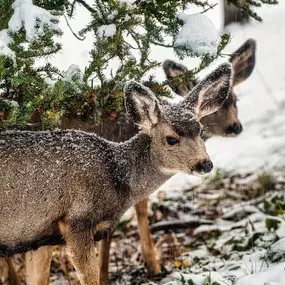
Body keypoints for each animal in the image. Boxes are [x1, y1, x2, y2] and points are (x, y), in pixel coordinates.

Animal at [0, 63, 233, 284]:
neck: (116, 175)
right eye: (171, 139)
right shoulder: (76, 220)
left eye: (201, 131)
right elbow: (90, 278)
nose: (205, 164)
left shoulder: (40, 236)